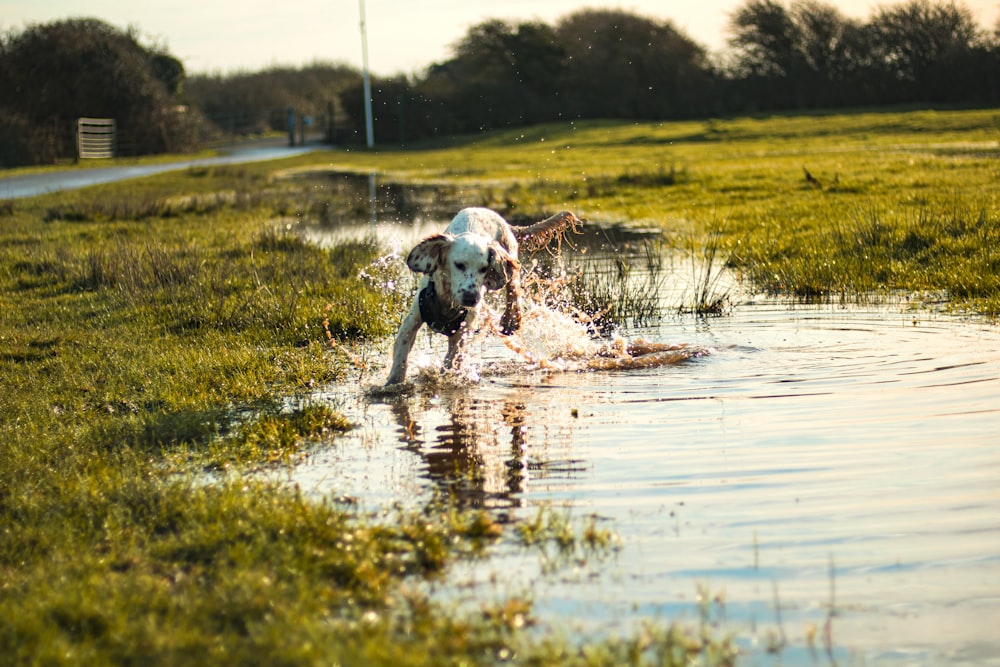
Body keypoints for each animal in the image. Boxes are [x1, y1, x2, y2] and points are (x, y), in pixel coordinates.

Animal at [386, 209, 584, 386]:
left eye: (483, 269)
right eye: (459, 265)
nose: (471, 298)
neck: (448, 300)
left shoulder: (463, 329)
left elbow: (452, 359)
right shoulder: (414, 317)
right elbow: (402, 347)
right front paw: (394, 382)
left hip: (510, 259)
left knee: (513, 291)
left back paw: (510, 320)